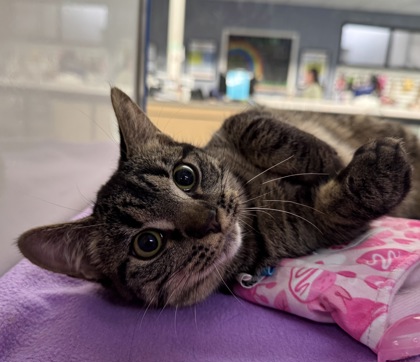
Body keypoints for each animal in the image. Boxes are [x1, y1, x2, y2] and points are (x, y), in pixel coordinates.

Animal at [17, 87, 420, 306]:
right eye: (148, 243)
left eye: (185, 176)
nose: (211, 219)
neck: (257, 213)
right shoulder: (315, 226)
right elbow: (338, 207)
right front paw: (378, 169)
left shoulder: (234, 126)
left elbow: (252, 123)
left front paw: (326, 156)